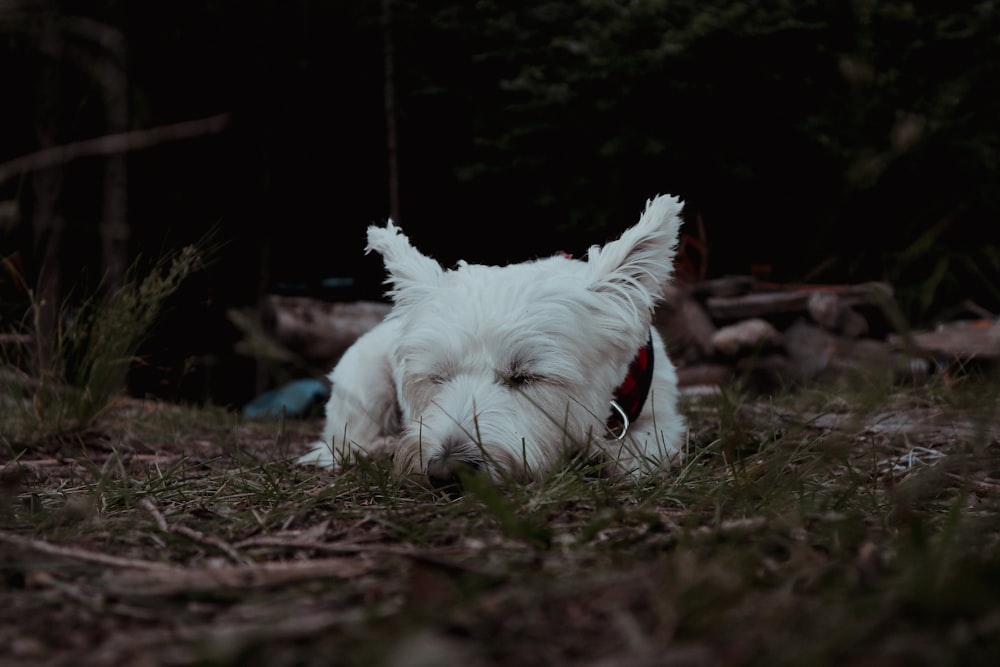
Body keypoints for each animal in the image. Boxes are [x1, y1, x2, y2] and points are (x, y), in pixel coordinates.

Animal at [296, 196, 688, 488]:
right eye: (437, 377)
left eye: (527, 376)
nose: (447, 472)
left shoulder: (662, 418)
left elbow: (643, 453)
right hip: (363, 381)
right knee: (344, 439)